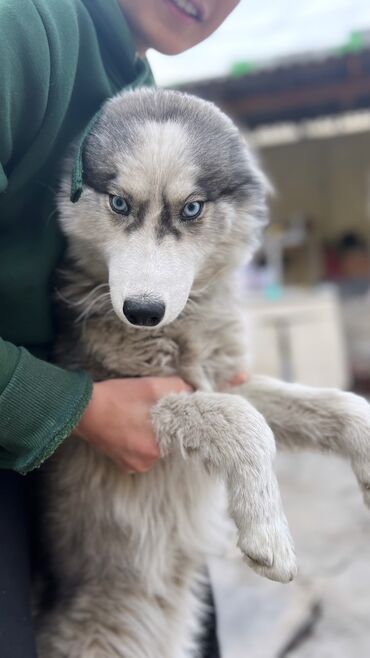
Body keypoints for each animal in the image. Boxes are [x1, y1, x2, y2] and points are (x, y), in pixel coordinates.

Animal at [36, 88, 370, 656]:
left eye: (192, 208)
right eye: (119, 203)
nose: (142, 311)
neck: (182, 329)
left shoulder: (226, 377)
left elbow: (342, 404)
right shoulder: (143, 398)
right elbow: (243, 423)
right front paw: (267, 534)